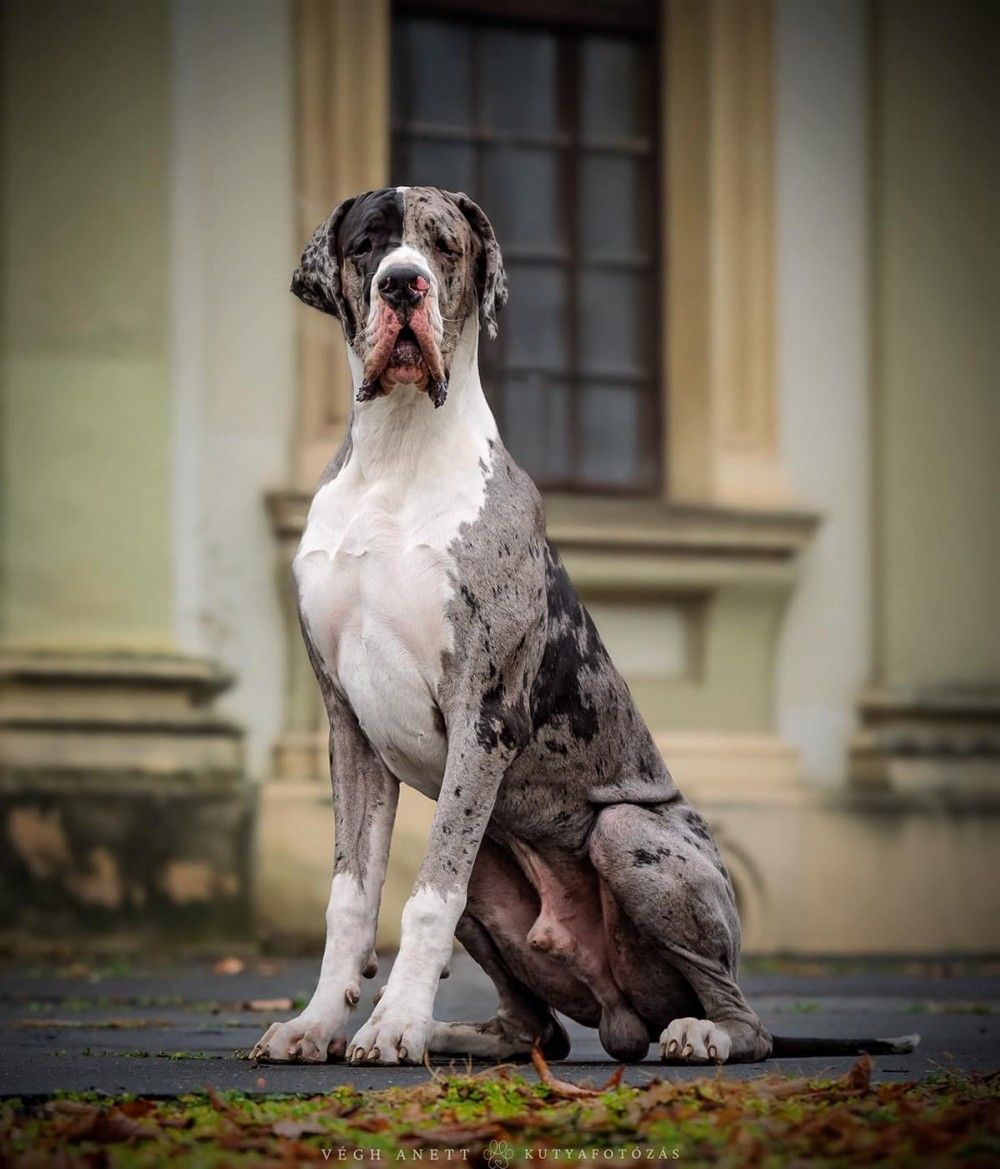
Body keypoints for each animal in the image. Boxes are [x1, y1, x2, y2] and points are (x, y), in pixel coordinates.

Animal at [250, 186, 918, 1067]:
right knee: (539, 1027)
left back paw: (700, 1030)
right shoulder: (347, 726)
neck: (398, 454)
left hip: (628, 832)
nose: (403, 285)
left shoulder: (485, 715)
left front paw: (391, 1024)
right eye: (368, 245)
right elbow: (351, 899)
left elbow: (426, 897)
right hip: (495, 862)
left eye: (444, 246)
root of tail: (622, 1012)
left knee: (744, 1016)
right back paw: (457, 1032)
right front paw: (319, 1022)